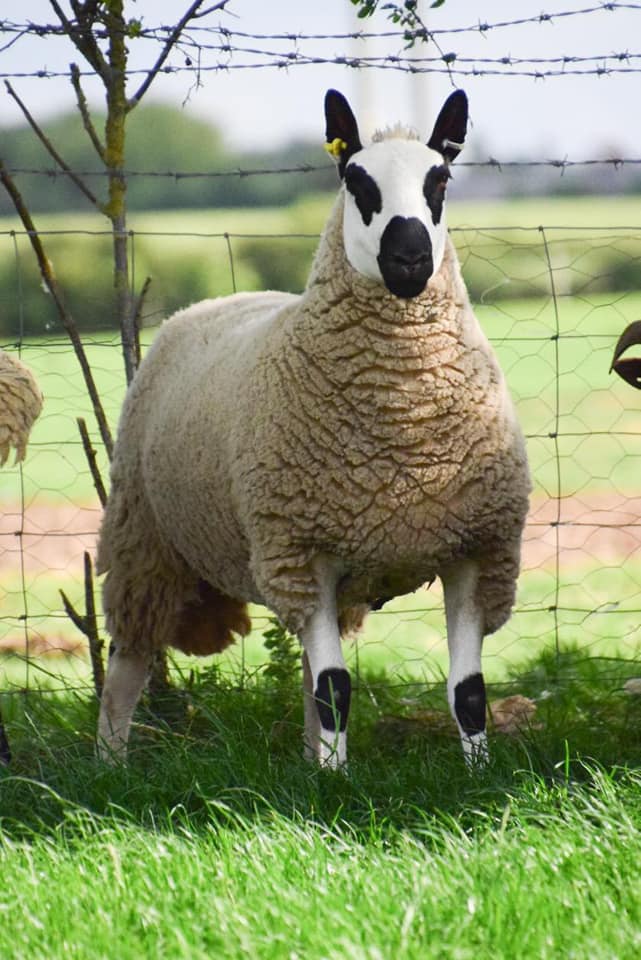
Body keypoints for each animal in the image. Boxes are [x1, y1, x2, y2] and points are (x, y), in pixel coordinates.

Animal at [97, 88, 530, 768]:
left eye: (440, 179)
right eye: (355, 180)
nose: (410, 259)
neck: (403, 428)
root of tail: (208, 304)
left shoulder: (476, 551)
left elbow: (467, 691)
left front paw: (479, 775)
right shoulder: (302, 550)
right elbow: (335, 688)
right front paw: (336, 784)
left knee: (304, 668)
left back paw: (307, 757)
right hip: (145, 537)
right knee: (127, 662)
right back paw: (110, 763)